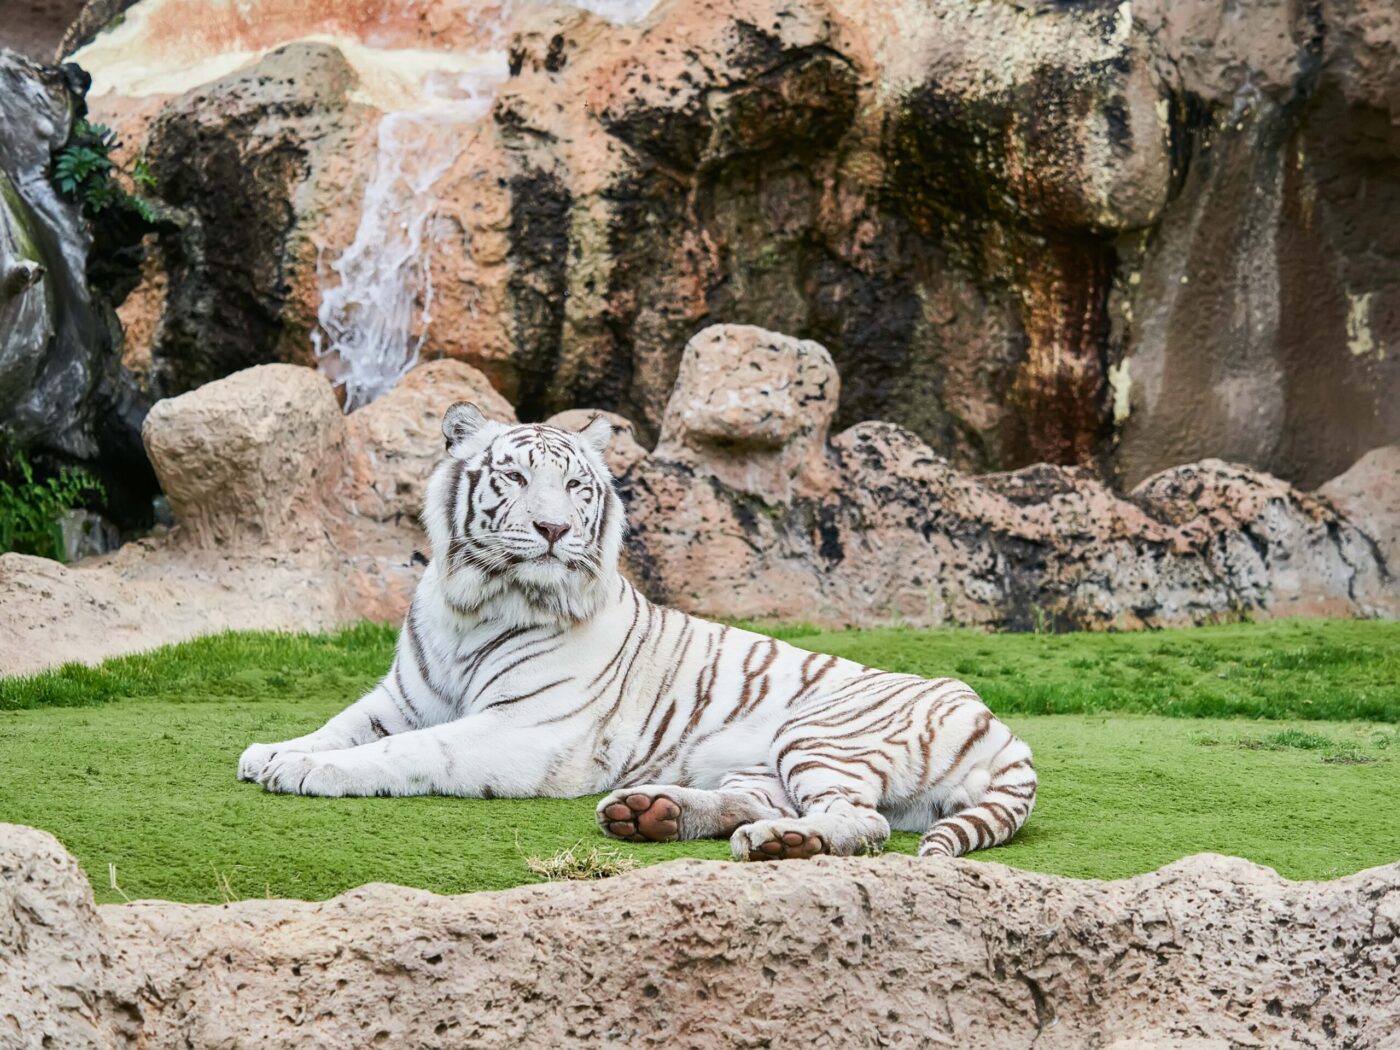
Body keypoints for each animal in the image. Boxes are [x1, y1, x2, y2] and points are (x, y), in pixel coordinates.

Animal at [238, 406, 1041, 862]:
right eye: (515, 478)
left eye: (575, 487)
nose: (553, 529)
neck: (477, 603)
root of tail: (1003, 728)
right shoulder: (405, 696)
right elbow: (347, 724)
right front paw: (273, 752)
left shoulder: (522, 730)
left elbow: (407, 751)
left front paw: (309, 773)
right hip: (758, 763)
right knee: (765, 801)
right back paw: (653, 814)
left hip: (819, 733)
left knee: (860, 820)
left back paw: (780, 845)